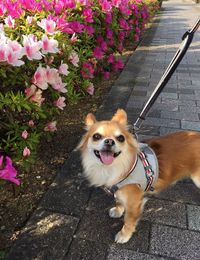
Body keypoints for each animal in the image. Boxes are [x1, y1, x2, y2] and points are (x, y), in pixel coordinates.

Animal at [77, 108, 200, 243]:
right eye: (96, 136)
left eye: (120, 138)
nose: (109, 141)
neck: (113, 168)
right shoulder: (119, 190)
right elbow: (118, 201)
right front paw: (118, 210)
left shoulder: (134, 203)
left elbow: (128, 221)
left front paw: (124, 235)